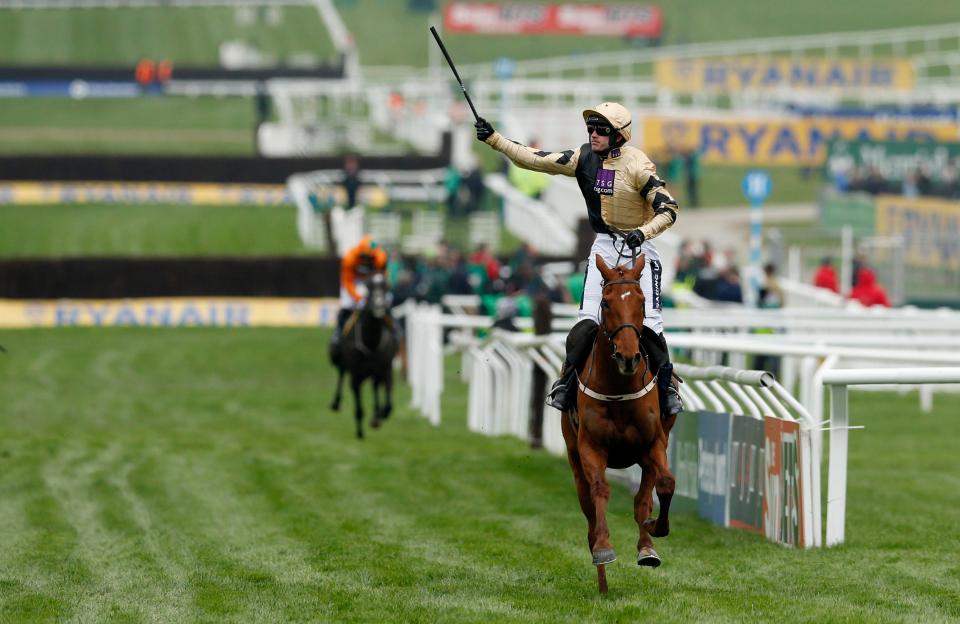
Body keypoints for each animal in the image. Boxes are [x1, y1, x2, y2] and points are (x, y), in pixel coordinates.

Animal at [326, 272, 394, 438]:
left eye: (386, 286)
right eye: (369, 287)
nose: (379, 306)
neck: (370, 342)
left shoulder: (382, 369)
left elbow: (384, 396)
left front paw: (378, 417)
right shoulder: (356, 375)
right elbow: (359, 408)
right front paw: (360, 432)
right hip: (344, 365)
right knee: (341, 374)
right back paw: (336, 402)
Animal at [560, 254, 680, 596]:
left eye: (641, 301)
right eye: (606, 301)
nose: (629, 357)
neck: (618, 386)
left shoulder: (654, 444)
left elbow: (664, 485)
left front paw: (654, 534)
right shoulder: (591, 447)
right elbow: (600, 490)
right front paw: (603, 548)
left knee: (643, 499)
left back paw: (646, 545)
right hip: (574, 459)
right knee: (588, 508)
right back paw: (601, 575)